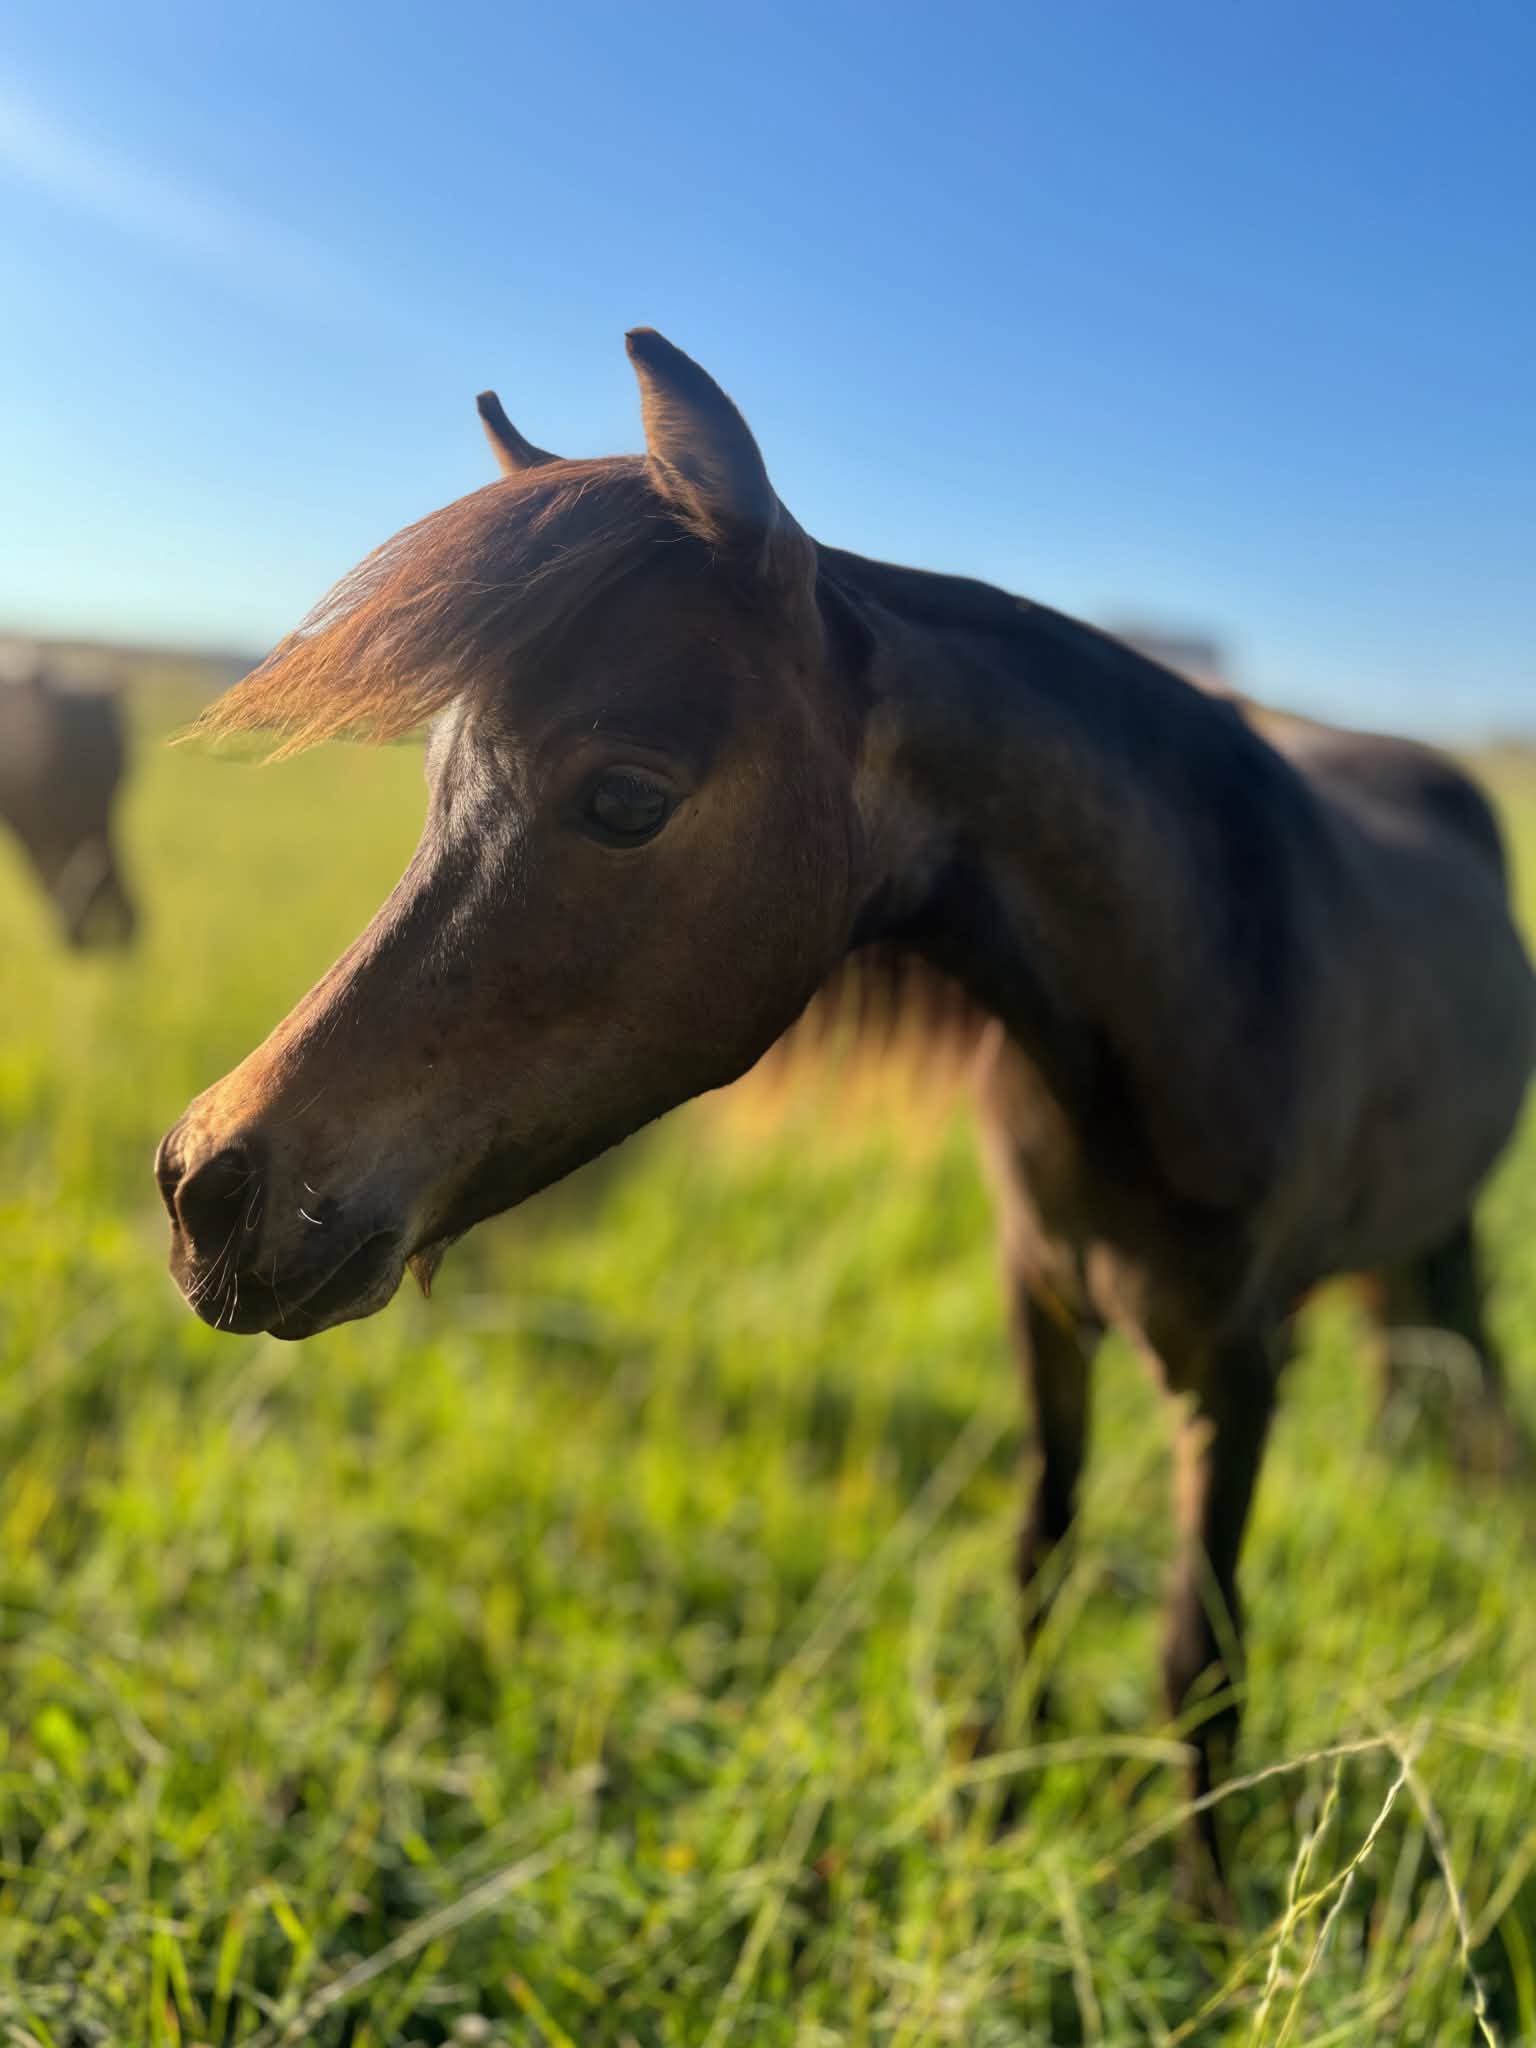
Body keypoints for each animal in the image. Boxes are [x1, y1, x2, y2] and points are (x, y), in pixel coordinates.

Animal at [154, 329, 1535, 1888]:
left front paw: (1204, 1901)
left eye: (625, 797)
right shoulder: (1041, 1303)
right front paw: (999, 1790)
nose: (206, 1184)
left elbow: (1202, 1649)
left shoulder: (1230, 1372)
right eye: (439, 782)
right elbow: (1040, 1551)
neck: (1181, 1000)